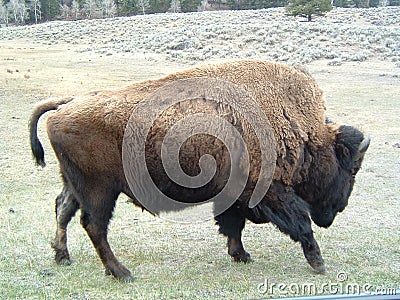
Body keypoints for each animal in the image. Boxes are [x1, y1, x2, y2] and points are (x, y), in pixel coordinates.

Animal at [29, 60, 370, 282]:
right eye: (351, 168)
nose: (338, 209)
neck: (302, 130)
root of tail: (65, 105)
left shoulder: (235, 196)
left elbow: (233, 225)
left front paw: (241, 255)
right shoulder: (270, 192)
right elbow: (299, 223)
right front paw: (319, 262)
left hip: (76, 184)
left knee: (63, 209)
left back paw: (63, 256)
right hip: (100, 191)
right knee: (94, 225)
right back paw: (122, 273)